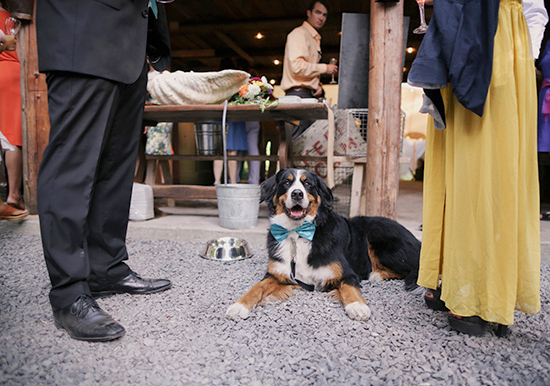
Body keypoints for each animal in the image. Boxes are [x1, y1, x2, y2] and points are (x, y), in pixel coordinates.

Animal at [226, 167, 420, 322]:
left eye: (308, 184)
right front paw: (239, 305)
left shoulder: (347, 274)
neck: (298, 233)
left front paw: (357, 306)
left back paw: (375, 274)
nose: (297, 194)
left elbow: (349, 287)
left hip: (380, 239)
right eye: (286, 183)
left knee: (411, 268)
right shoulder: (276, 274)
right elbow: (257, 287)